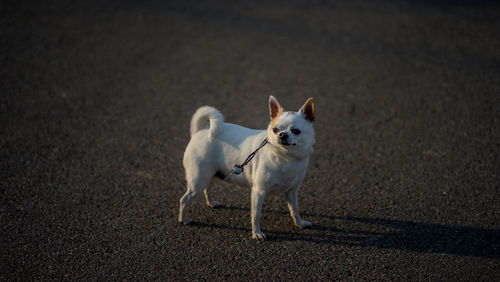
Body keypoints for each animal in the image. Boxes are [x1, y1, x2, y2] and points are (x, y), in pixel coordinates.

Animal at [178, 96, 314, 239]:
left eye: (296, 131)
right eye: (275, 130)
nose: (282, 134)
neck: (285, 157)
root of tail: (200, 130)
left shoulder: (292, 191)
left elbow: (295, 210)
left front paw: (300, 224)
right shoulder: (259, 192)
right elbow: (256, 214)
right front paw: (257, 233)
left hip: (212, 174)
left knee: (206, 189)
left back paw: (211, 203)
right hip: (198, 180)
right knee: (185, 199)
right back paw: (183, 219)